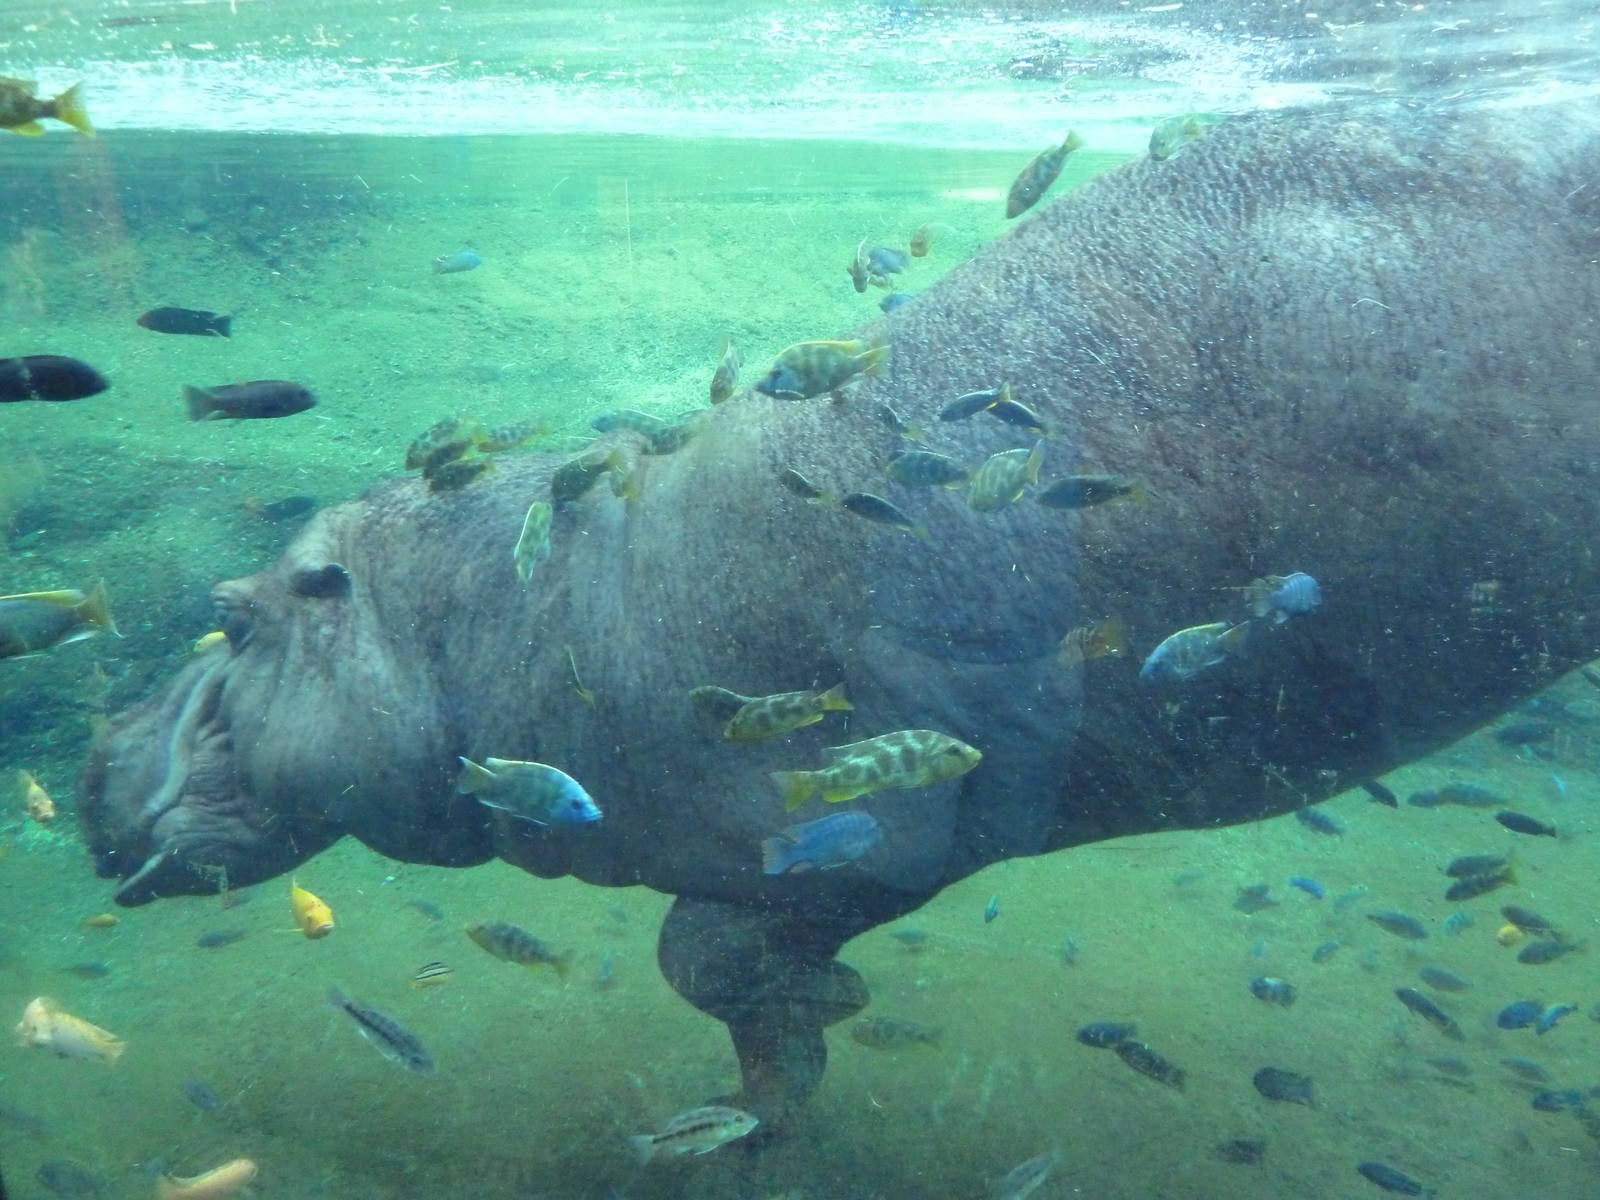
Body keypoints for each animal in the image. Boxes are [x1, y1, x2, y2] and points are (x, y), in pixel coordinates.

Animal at [80, 103, 1600, 1127]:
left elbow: (700, 954)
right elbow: (728, 974)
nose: (92, 748)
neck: (489, 611)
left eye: (235, 614)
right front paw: (781, 1083)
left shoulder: (861, 811)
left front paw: (815, 1037)